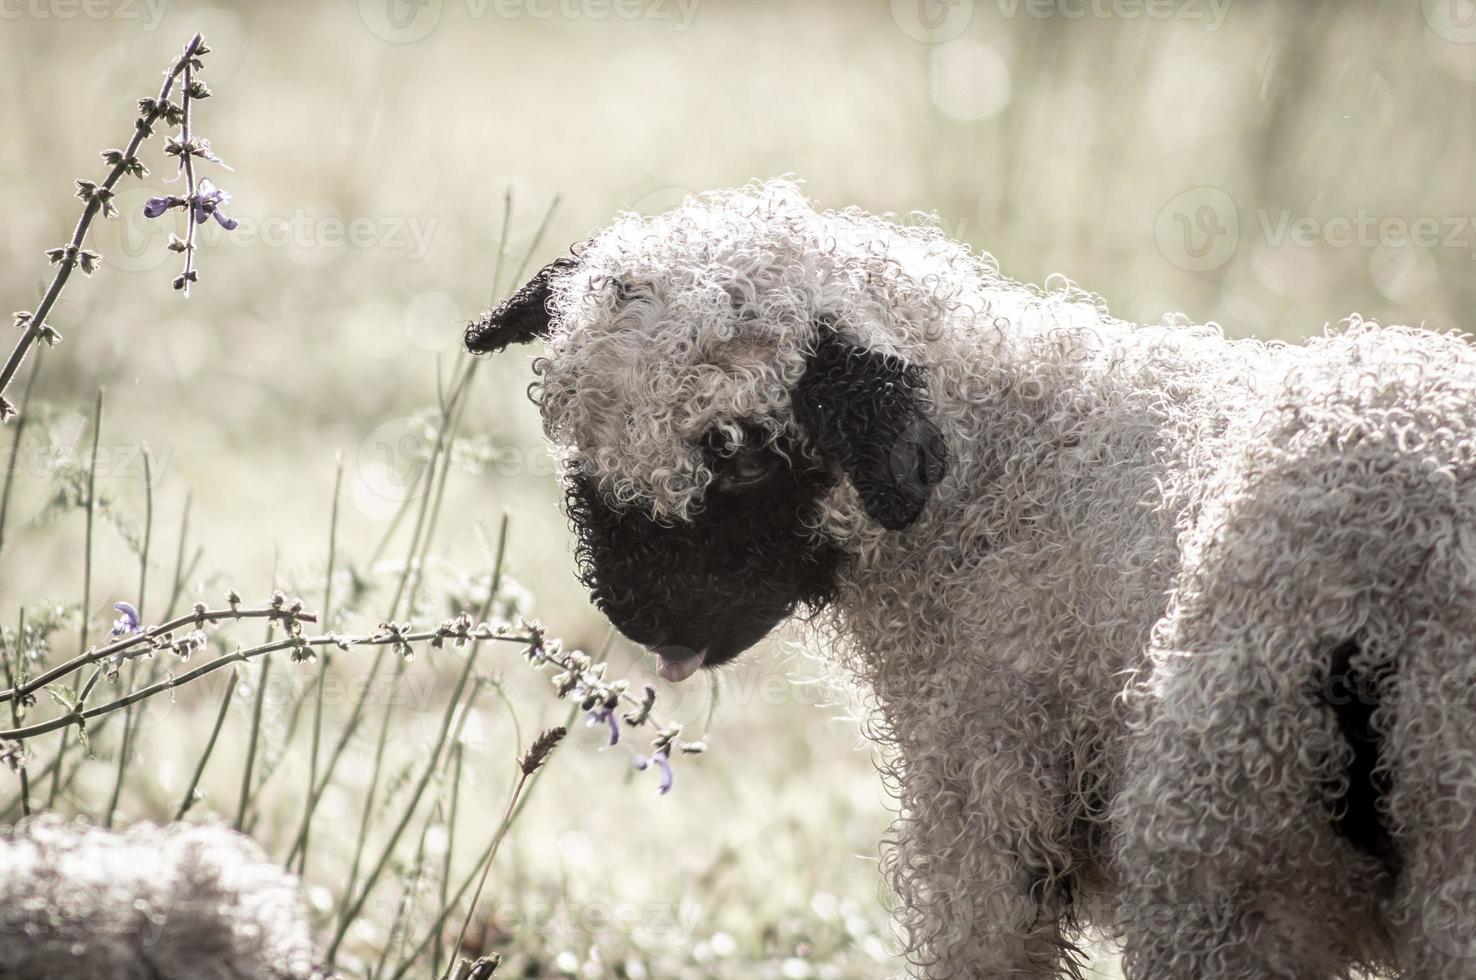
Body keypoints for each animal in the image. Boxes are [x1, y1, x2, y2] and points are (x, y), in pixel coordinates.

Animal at [466, 180, 1476, 974]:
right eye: (570, 440)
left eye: (741, 453)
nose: (641, 617)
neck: (1008, 473)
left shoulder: (988, 797)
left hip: (1227, 840)